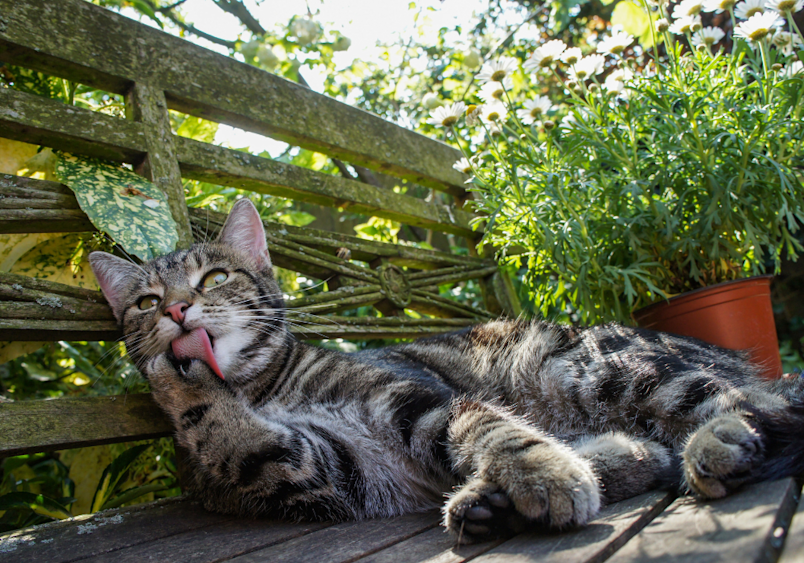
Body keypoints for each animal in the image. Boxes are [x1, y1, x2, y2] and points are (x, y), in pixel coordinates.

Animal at [88, 200, 804, 544]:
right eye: (145, 303)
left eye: (215, 277)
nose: (176, 311)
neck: (258, 388)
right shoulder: (323, 472)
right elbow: (233, 438)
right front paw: (176, 380)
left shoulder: (414, 400)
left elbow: (491, 430)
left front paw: (542, 472)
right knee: (649, 451)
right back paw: (496, 502)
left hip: (602, 367)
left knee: (756, 403)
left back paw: (718, 440)